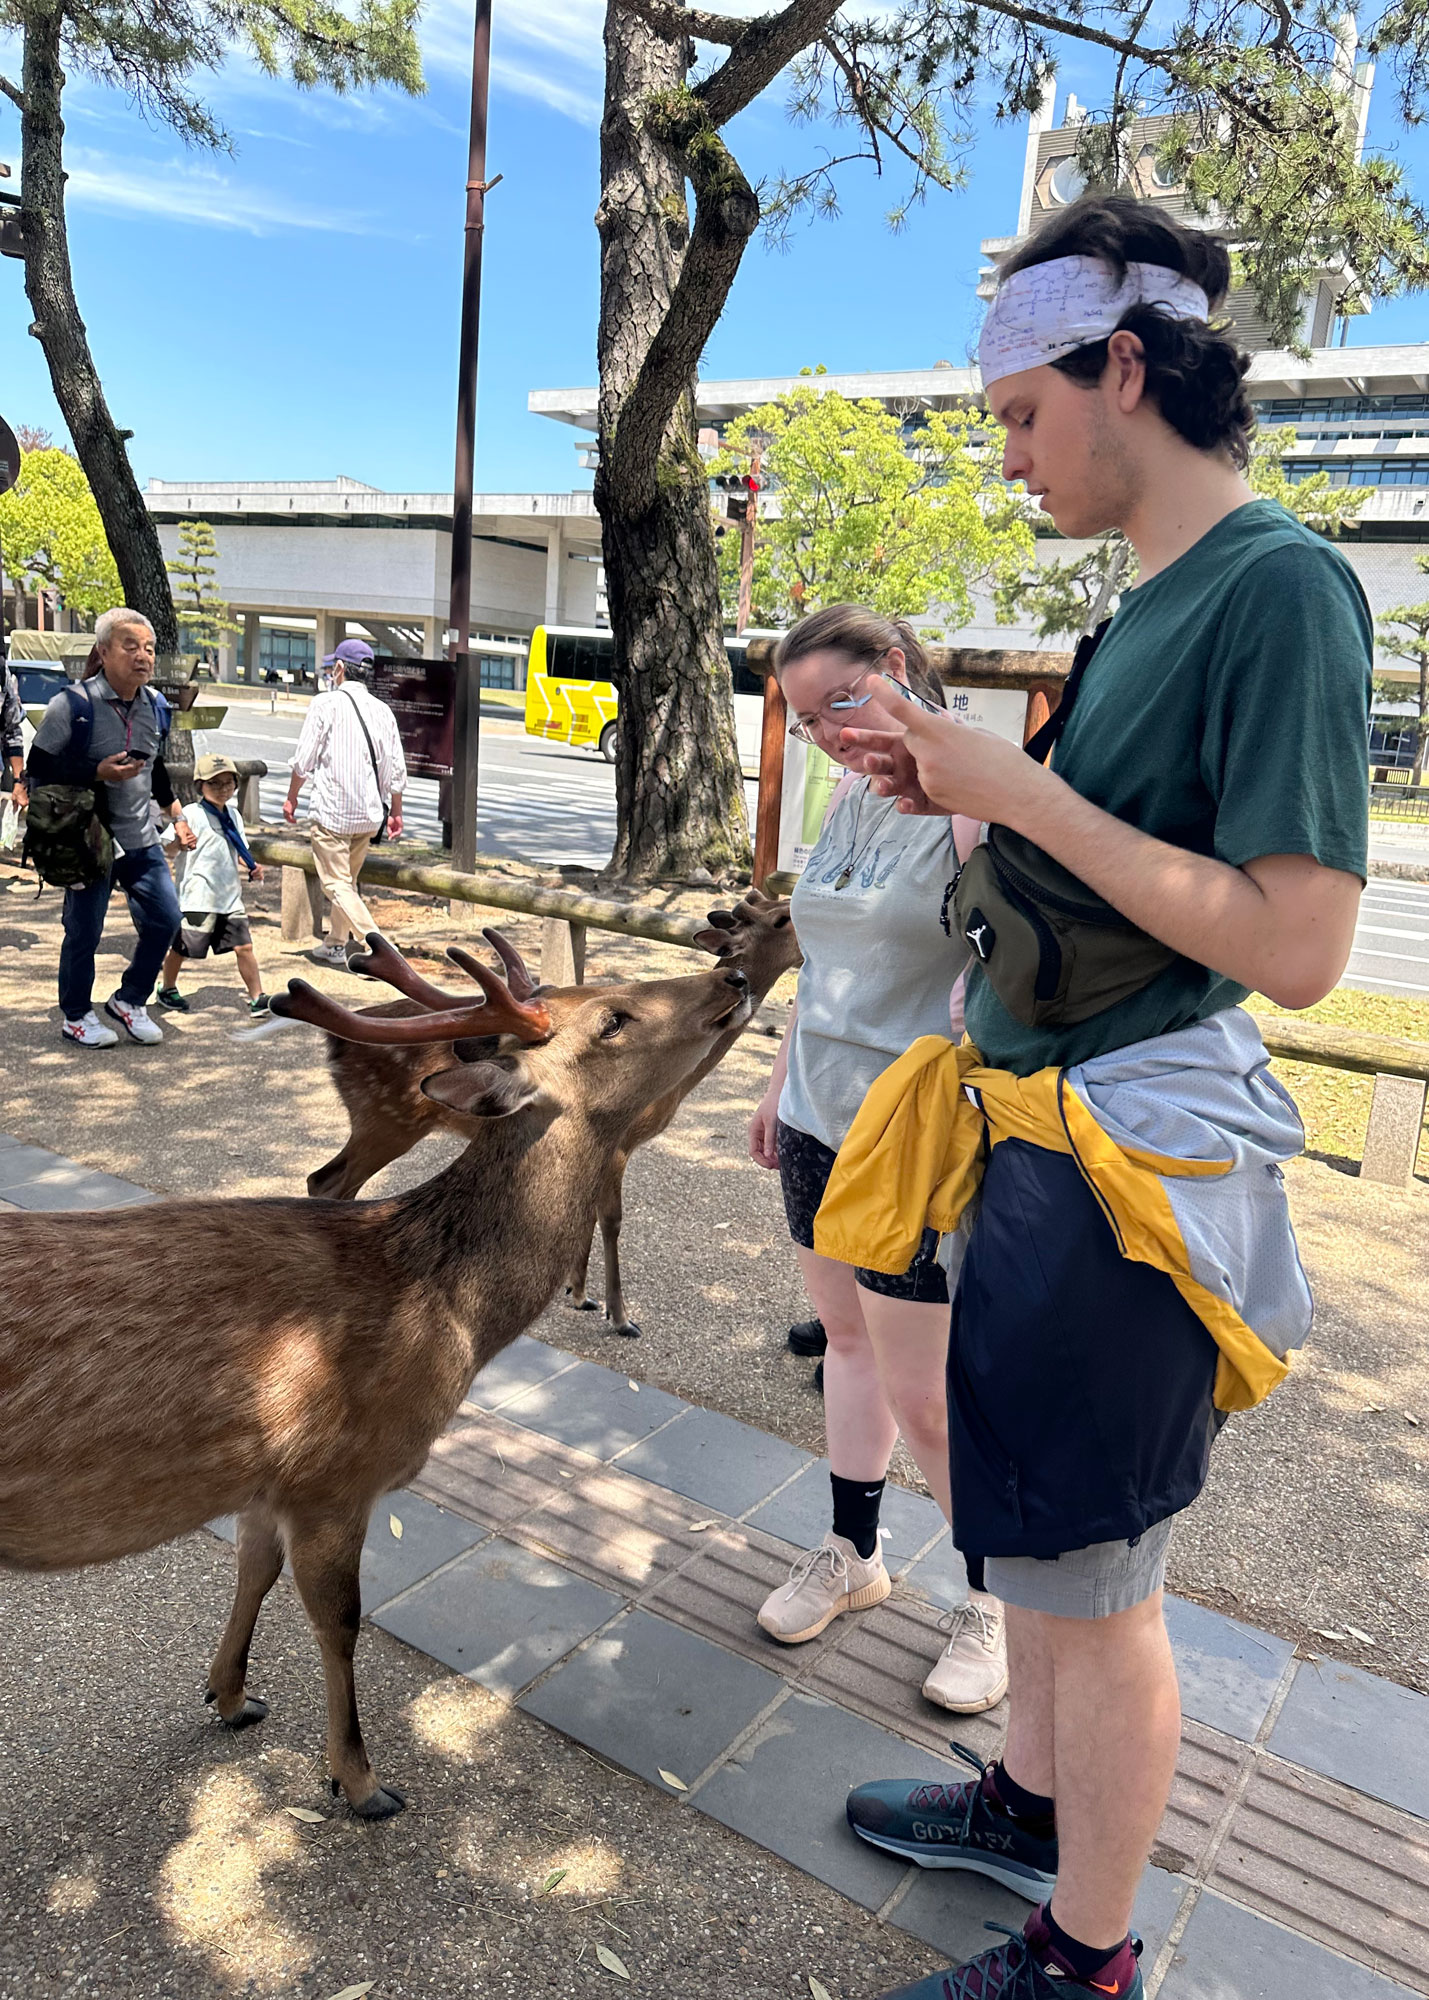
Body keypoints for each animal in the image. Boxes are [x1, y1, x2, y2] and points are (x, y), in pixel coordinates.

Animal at [0, 952, 755, 1820]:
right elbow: (342, 1624)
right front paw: (360, 1781)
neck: (452, 1315)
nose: (733, 975)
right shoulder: (334, 1475)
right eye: (614, 1019)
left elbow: (252, 1573)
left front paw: (230, 1696)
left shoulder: (268, 1481)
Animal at [304, 889, 801, 1335]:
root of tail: (332, 1045)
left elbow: (588, 1214)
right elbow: (611, 1219)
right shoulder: (619, 1145)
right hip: (385, 1121)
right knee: (326, 1181)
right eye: (783, 919)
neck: (672, 1095)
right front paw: (618, 1316)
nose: (737, 981)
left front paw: (577, 1292)